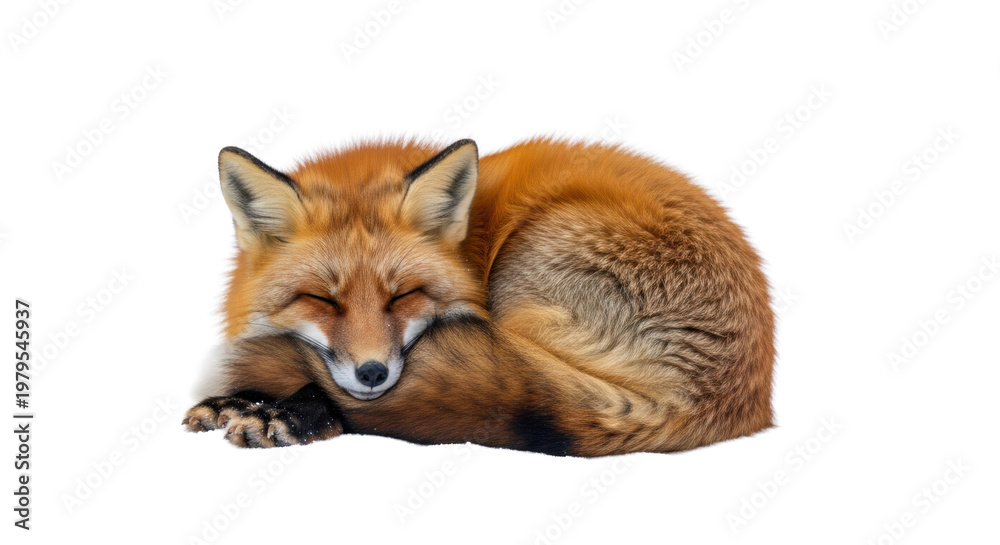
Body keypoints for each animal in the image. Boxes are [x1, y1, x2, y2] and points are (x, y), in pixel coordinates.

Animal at [182, 137, 775, 456]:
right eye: (322, 300)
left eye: (405, 295)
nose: (372, 373)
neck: (469, 245)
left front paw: (281, 411)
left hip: (527, 266)